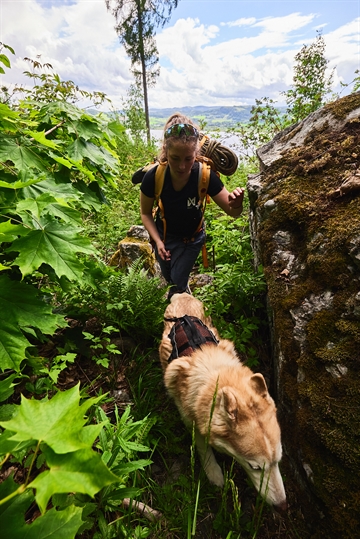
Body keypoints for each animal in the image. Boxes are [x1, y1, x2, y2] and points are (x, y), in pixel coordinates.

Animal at [160, 294, 286, 512]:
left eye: (278, 460)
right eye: (255, 467)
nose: (283, 506)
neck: (215, 375)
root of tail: (181, 294)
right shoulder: (192, 422)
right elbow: (204, 450)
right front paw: (214, 473)